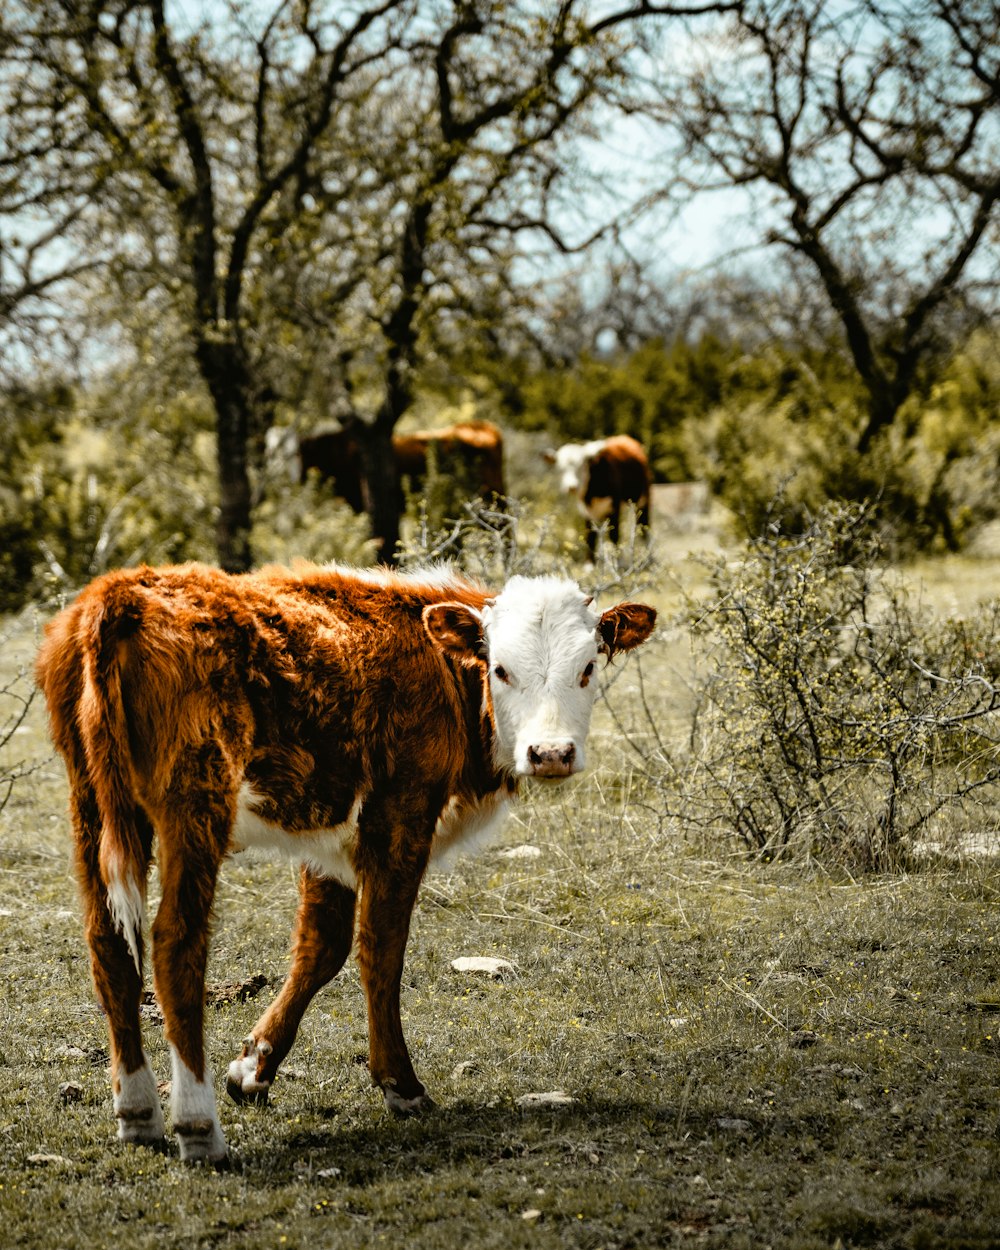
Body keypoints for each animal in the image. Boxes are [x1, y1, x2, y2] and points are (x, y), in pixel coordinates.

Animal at [37, 557, 655, 1160]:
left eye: (588, 668)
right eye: (501, 669)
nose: (550, 753)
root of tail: (120, 594)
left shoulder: (330, 838)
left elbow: (321, 946)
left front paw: (252, 1068)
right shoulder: (401, 812)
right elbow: (381, 946)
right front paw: (400, 1085)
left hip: (91, 802)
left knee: (109, 941)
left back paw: (138, 1112)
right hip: (195, 796)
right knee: (174, 943)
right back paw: (196, 1123)